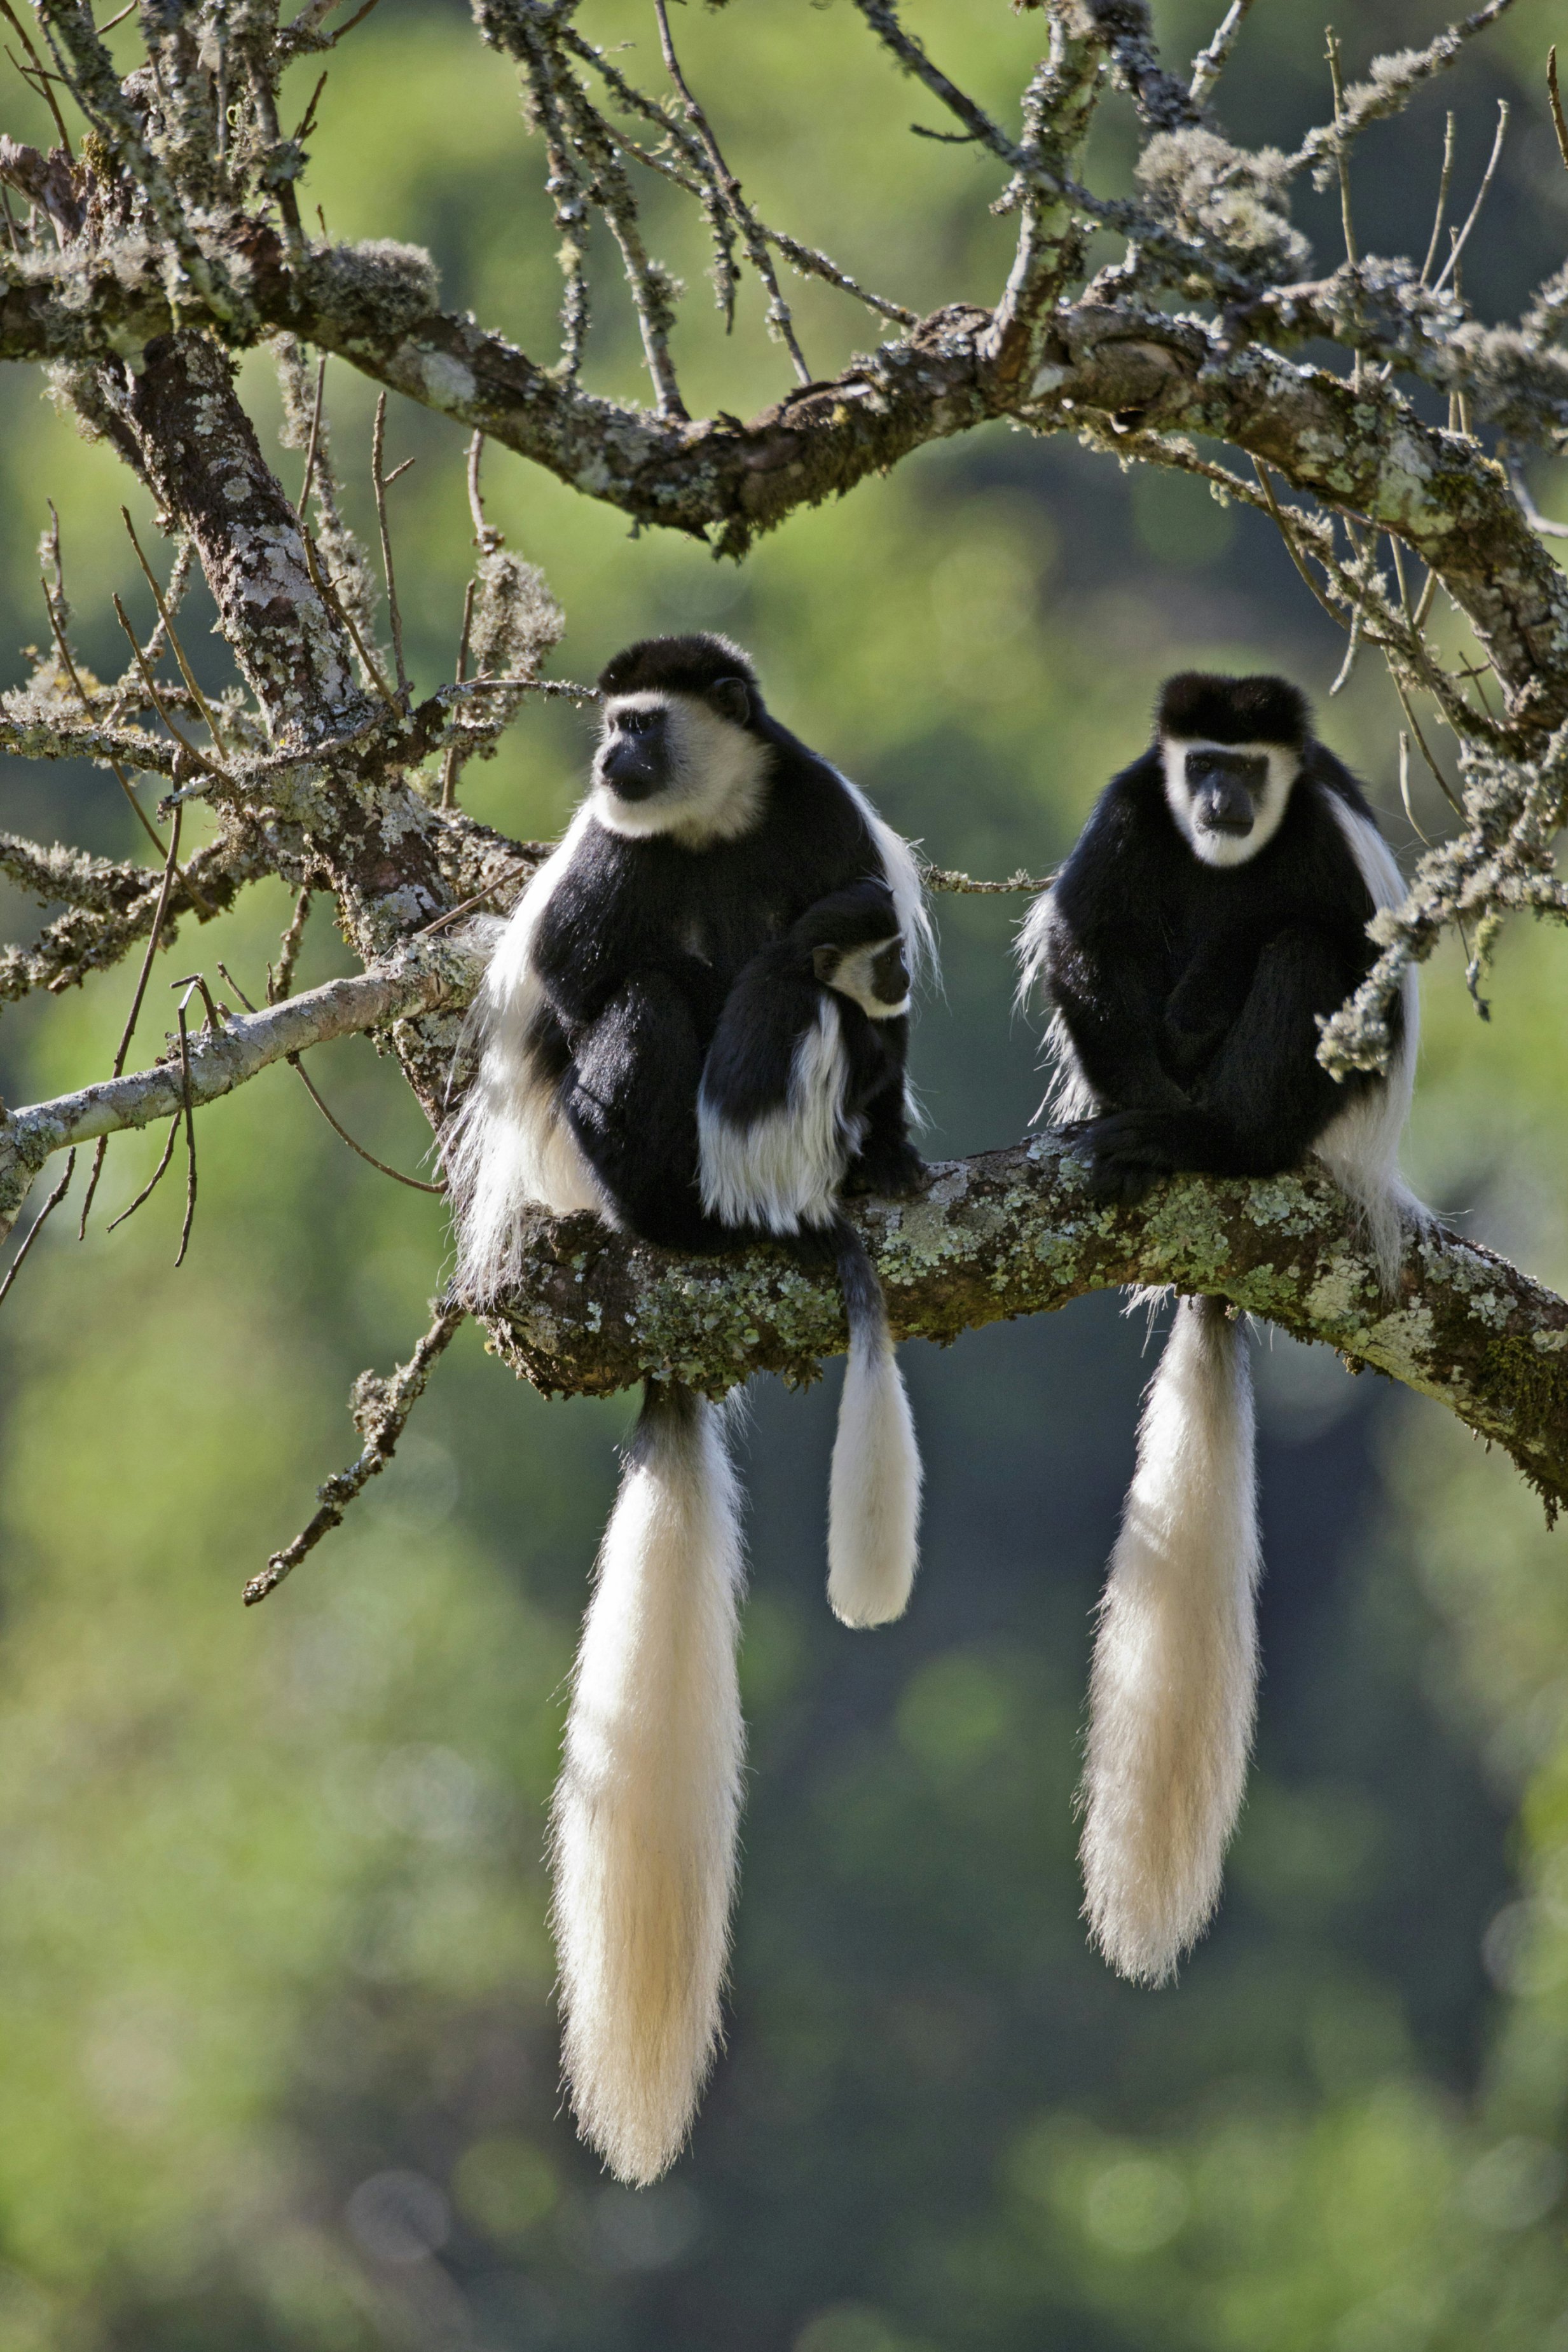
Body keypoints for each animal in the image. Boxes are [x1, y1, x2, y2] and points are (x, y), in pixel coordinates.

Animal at [444, 634, 933, 2186]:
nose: (609, 756)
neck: (710, 828)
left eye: (643, 724)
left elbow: (871, 991)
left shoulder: (822, 815)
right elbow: (572, 1000)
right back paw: (681, 1213)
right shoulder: (607, 861)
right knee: (642, 1003)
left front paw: (886, 1136)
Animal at [1015, 670, 1420, 1992]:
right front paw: (1136, 1106)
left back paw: (1215, 1141)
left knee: (1306, 953)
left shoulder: (1326, 834)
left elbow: (1342, 949)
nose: (1221, 802)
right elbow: (1081, 933)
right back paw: (1150, 1130)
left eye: (1246, 767)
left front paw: (1210, 1000)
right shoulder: (1127, 809)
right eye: (1201, 763)